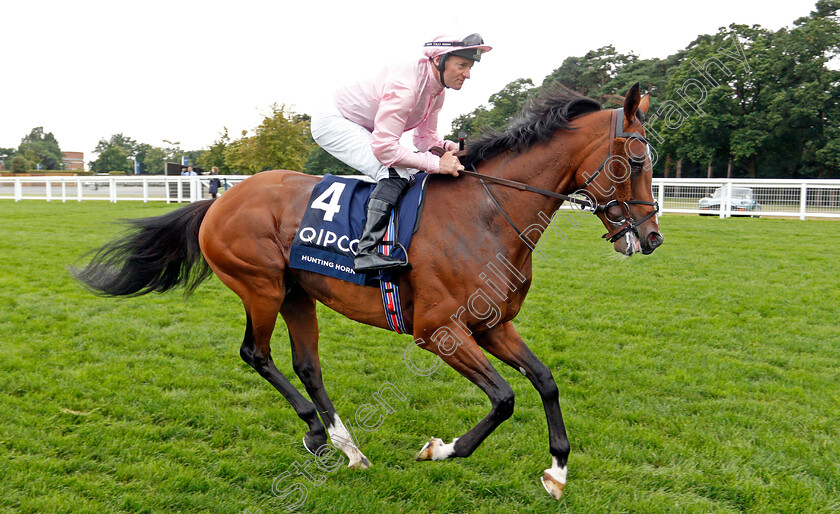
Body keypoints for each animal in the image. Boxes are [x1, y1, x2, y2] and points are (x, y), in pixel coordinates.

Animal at [74, 83, 664, 496]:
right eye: (636, 160)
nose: (651, 237)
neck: (488, 215)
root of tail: (220, 199)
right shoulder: (439, 332)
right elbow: (504, 398)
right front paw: (440, 450)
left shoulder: (492, 324)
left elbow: (544, 381)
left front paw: (558, 471)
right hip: (260, 286)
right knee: (255, 353)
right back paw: (317, 433)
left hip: (297, 294)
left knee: (306, 365)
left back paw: (346, 446)